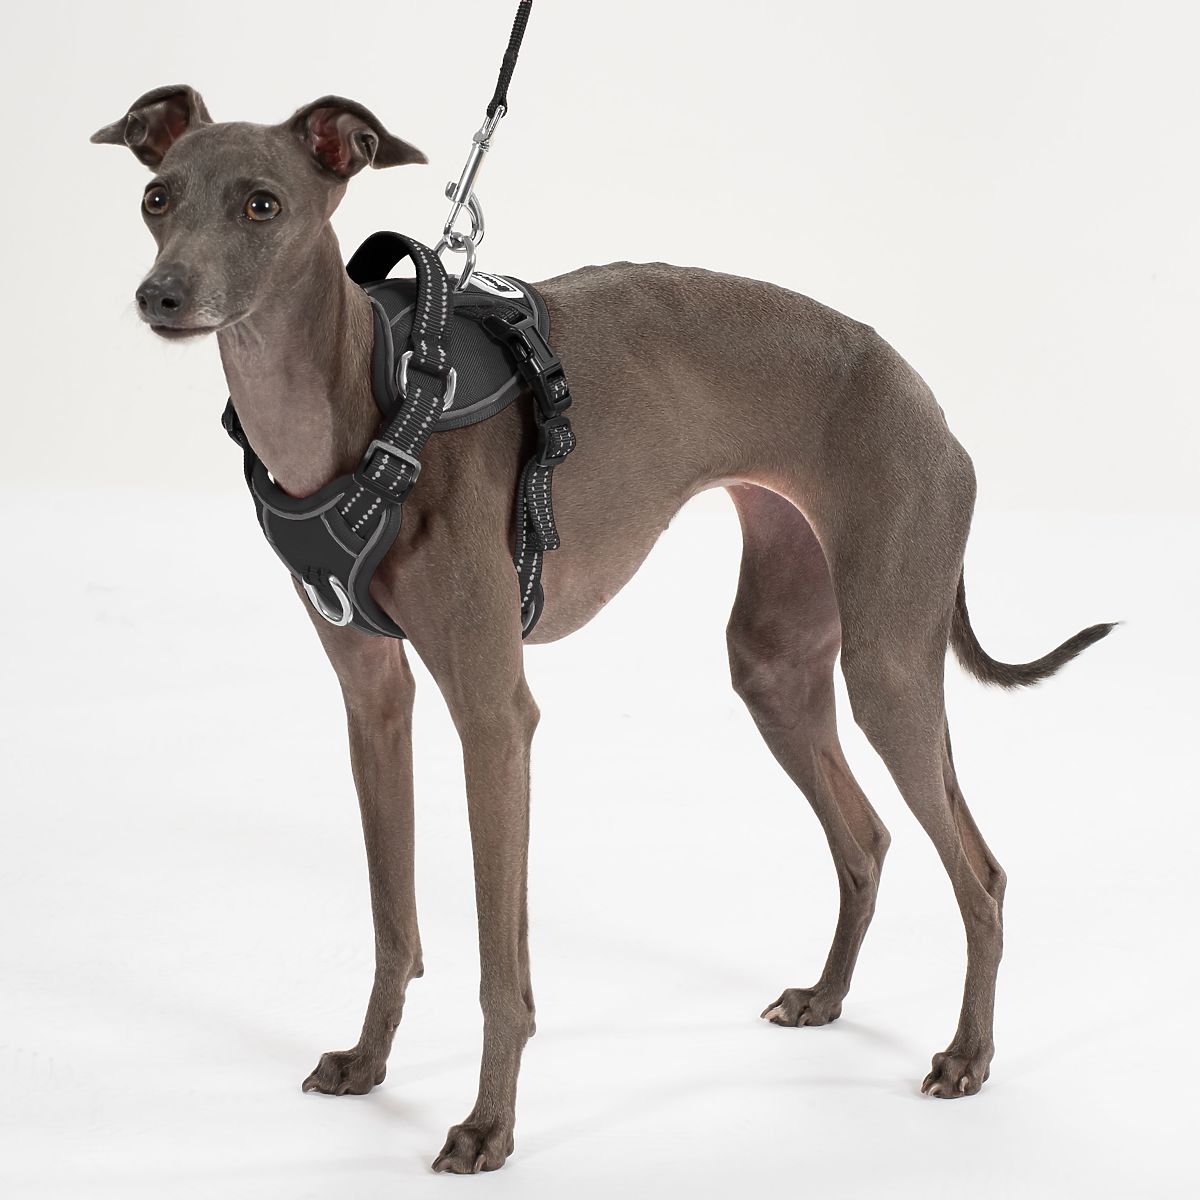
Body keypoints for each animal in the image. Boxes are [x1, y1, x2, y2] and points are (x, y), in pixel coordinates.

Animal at [91, 85, 1113, 1174]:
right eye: (157, 196)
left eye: (262, 204)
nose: (162, 296)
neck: (370, 399)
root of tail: (924, 395)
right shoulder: (373, 701)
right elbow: (393, 921)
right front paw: (368, 1062)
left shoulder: (496, 717)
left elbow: (501, 964)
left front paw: (487, 1126)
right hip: (776, 662)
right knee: (867, 837)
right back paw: (825, 998)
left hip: (888, 665)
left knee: (981, 872)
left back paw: (966, 1057)